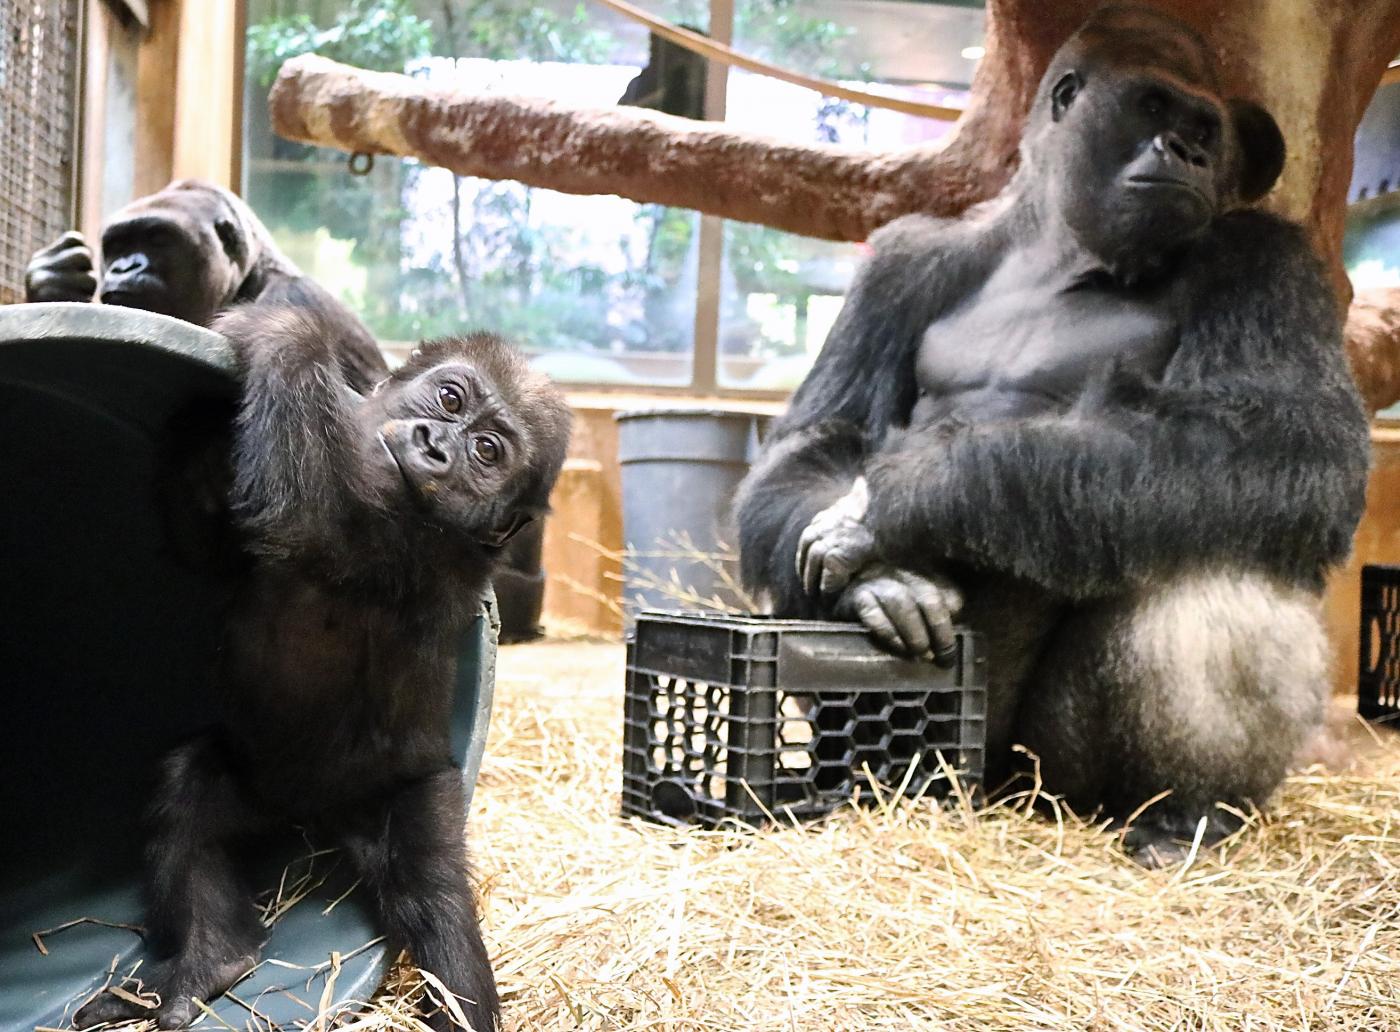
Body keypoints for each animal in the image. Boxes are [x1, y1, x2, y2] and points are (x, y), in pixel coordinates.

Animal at [73, 305, 568, 1030]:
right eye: (450, 399)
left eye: (486, 452)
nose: (435, 446)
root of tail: (318, 815)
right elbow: (209, 544)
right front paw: (198, 439)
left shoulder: (416, 545)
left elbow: (299, 512)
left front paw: (289, 329)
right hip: (256, 788)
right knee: (190, 794)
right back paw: (212, 957)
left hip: (411, 793)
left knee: (434, 897)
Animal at [739, 6, 1372, 862]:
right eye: (1152, 107)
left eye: (1204, 127)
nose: (1190, 153)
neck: (1056, 249)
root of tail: (1002, 792)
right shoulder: (904, 259)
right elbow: (816, 436)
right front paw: (883, 581)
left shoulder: (1267, 256)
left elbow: (1292, 442)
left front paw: (920, 490)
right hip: (972, 770)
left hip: (1056, 780)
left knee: (1219, 548)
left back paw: (1183, 814)